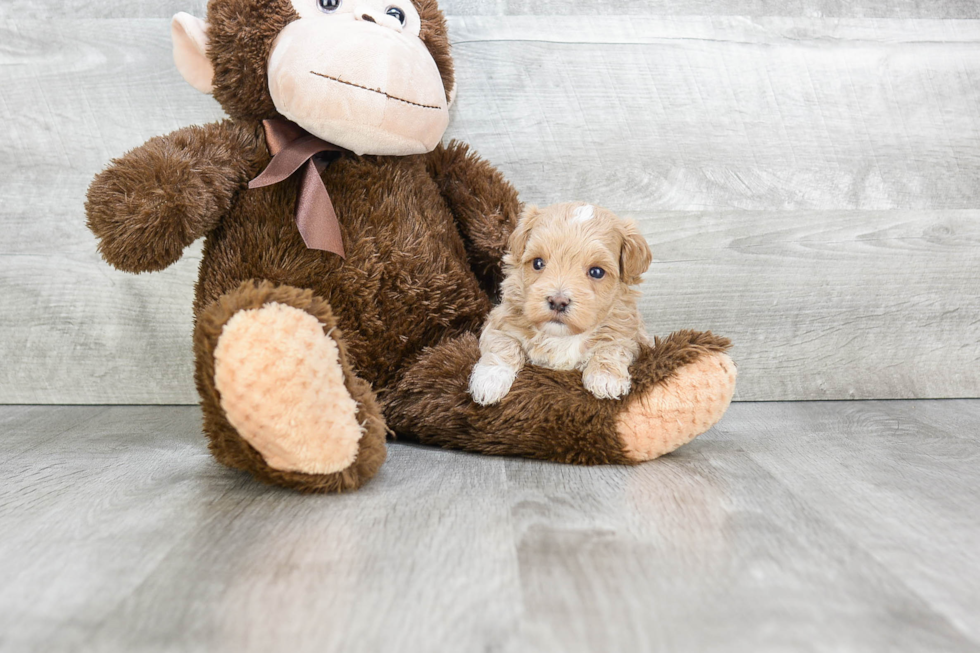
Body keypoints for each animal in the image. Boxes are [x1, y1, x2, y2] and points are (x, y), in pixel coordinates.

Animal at [470, 201, 656, 402]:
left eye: (597, 272)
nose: (558, 302)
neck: (562, 336)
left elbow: (612, 347)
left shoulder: (630, 335)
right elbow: (503, 344)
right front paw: (490, 379)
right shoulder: (499, 322)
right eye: (537, 263)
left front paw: (606, 378)